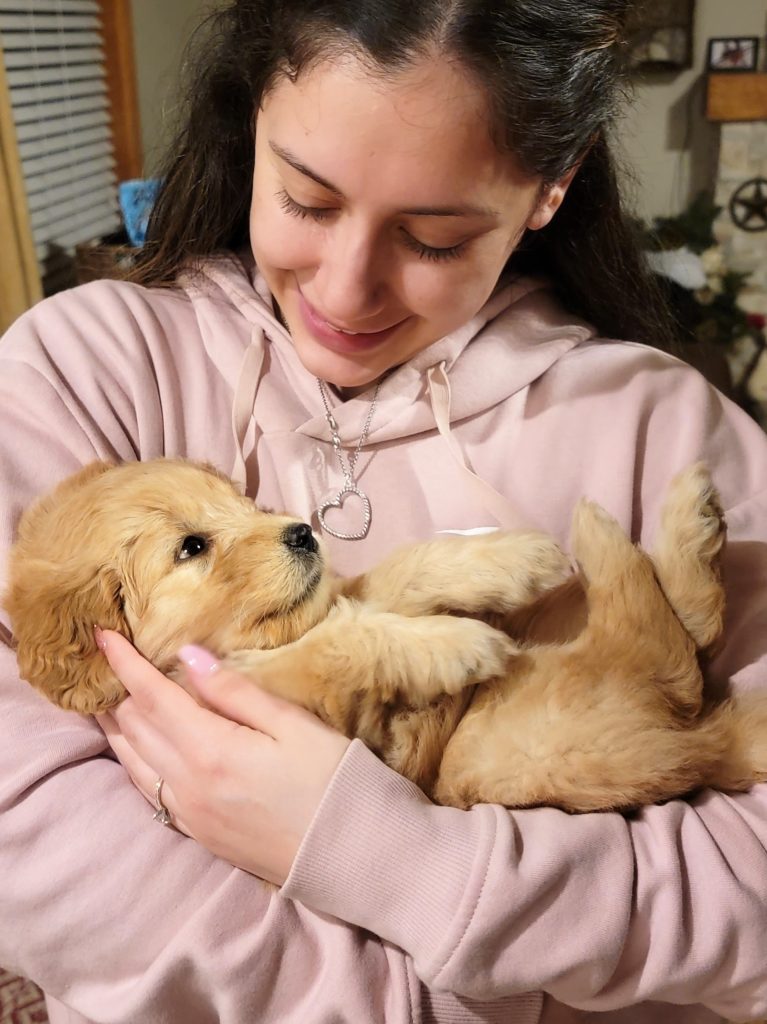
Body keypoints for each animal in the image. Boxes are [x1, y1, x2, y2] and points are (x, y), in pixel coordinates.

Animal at [5, 460, 765, 811]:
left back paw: (687, 515)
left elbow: (397, 574)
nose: (303, 532)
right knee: (665, 638)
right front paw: (455, 644)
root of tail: (707, 740)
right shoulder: (273, 692)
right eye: (192, 546)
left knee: (688, 626)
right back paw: (610, 527)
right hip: (514, 746)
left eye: (245, 506)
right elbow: (339, 644)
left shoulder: (342, 596)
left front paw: (506, 558)